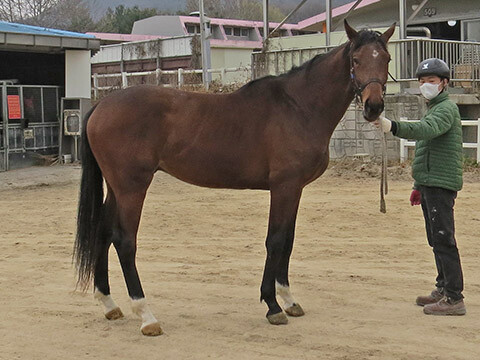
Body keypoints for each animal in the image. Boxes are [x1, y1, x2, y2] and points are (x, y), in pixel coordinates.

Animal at [75, 21, 396, 336]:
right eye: (356, 60)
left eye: (387, 59)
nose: (374, 107)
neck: (299, 106)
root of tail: (101, 106)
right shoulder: (283, 187)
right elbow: (275, 240)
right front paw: (272, 305)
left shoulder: (295, 189)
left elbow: (288, 240)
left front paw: (289, 300)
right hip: (132, 188)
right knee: (125, 241)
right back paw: (147, 316)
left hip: (116, 188)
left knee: (102, 232)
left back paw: (109, 303)